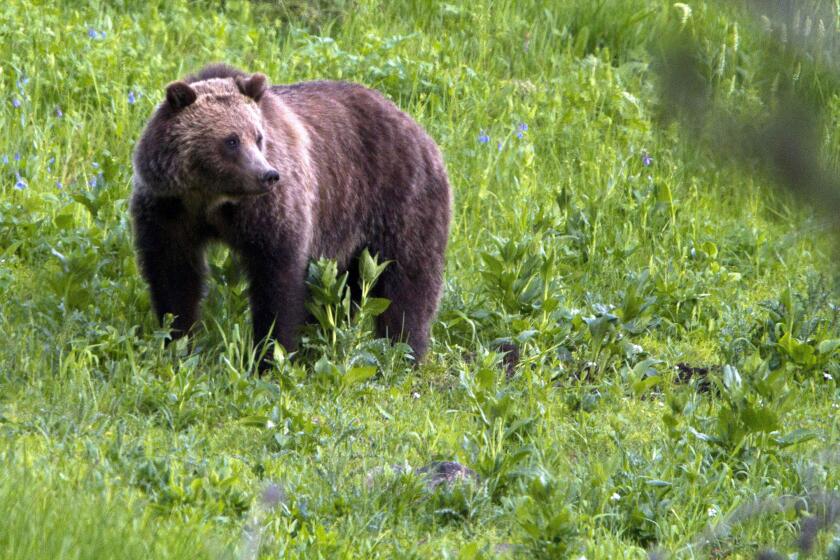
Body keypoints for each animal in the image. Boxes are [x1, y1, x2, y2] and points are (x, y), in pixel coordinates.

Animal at [130, 64, 452, 364]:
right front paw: (177, 341)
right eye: (231, 140)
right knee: (345, 289)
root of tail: (417, 127)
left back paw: (404, 352)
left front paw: (271, 354)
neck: (212, 199)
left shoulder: (269, 212)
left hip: (399, 200)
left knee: (408, 282)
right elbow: (174, 275)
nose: (267, 175)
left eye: (258, 137)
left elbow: (278, 279)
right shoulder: (169, 210)